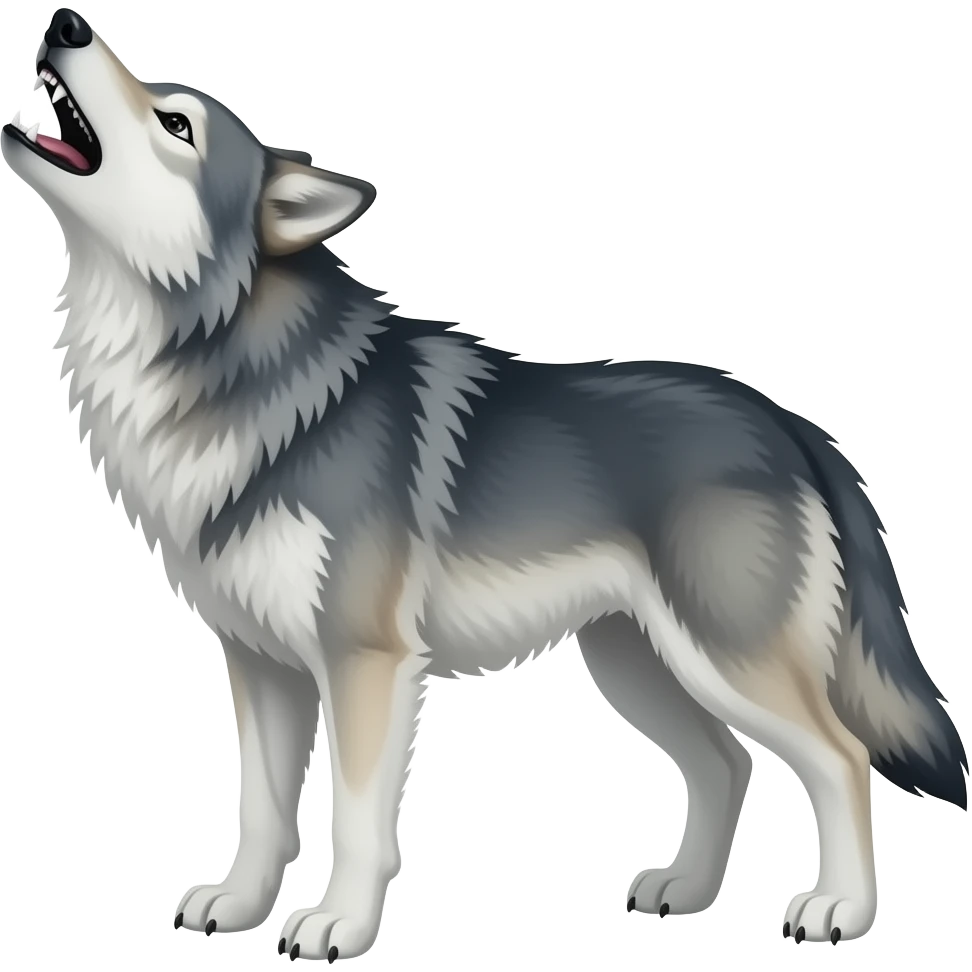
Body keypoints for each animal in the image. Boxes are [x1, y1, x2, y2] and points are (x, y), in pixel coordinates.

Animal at [3, 8, 967, 961]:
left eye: (176, 124)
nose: (66, 23)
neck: (218, 359)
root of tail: (793, 424)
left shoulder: (366, 661)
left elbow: (355, 817)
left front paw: (338, 924)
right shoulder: (262, 665)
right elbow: (263, 811)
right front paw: (239, 907)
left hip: (725, 657)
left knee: (840, 759)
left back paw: (839, 909)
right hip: (636, 663)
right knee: (728, 763)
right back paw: (687, 891)